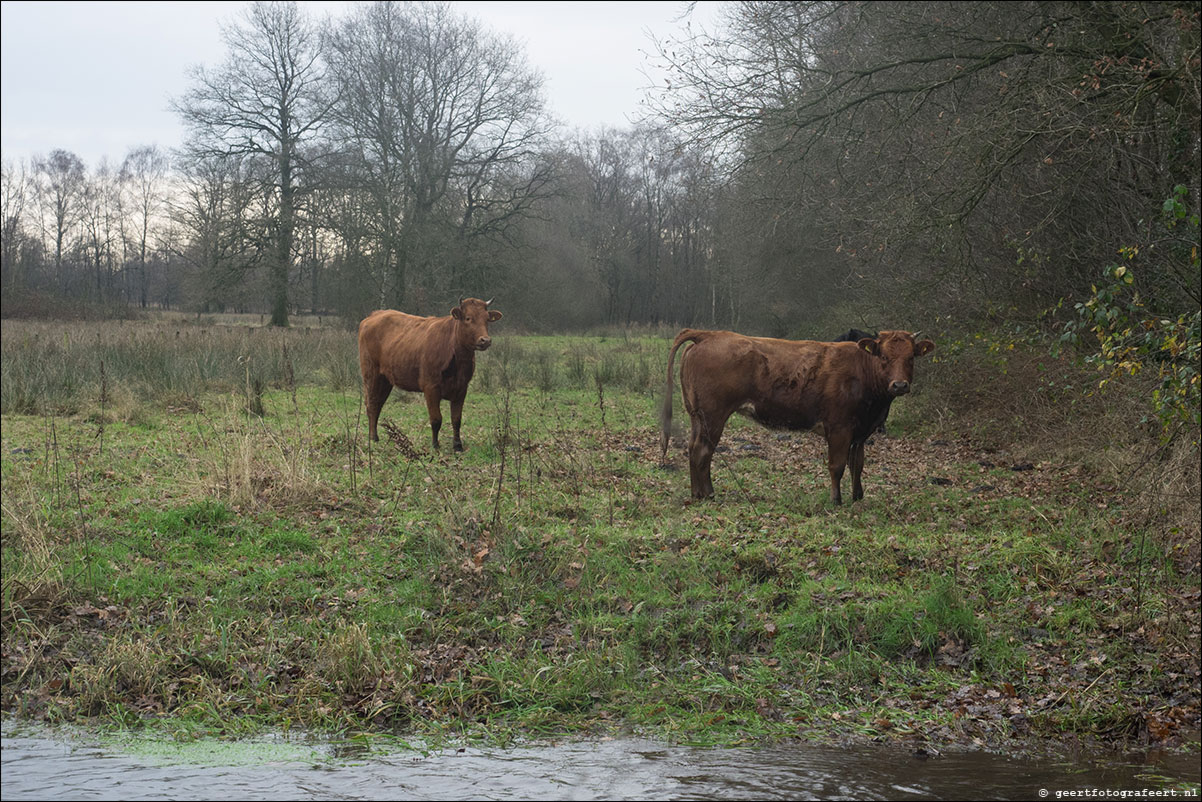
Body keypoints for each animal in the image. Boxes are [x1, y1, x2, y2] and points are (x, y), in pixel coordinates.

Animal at [360, 299, 502, 452]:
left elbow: (456, 419)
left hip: (385, 380)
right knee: (372, 404)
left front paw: (458, 445)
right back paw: (373, 438)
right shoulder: (430, 387)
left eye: (487, 319)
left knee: (378, 404)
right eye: (468, 318)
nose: (485, 340)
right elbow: (436, 419)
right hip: (371, 375)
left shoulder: (462, 389)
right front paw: (435, 445)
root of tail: (375, 315)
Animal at [663, 327, 932, 502]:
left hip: (697, 416)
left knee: (694, 448)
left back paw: (698, 493)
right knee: (703, 450)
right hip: (713, 415)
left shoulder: (861, 432)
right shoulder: (839, 428)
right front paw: (836, 500)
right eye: (884, 356)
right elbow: (837, 465)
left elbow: (858, 464)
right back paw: (706, 495)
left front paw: (858, 497)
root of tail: (709, 334)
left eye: (911, 358)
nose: (899, 385)